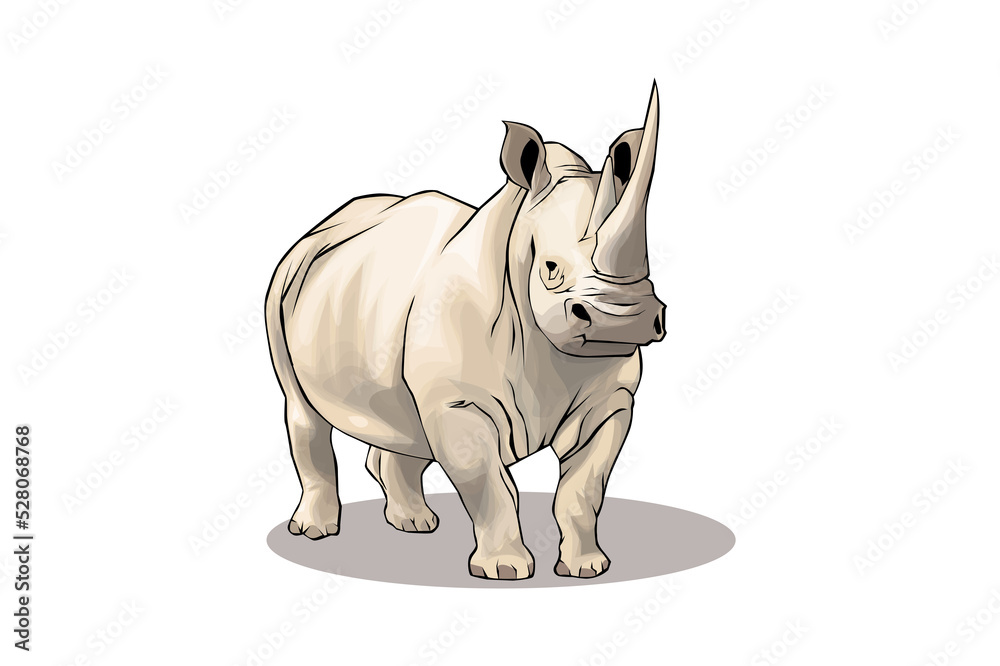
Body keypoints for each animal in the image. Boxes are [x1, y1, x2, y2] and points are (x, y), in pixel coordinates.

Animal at [265, 83, 666, 580]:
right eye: (551, 269)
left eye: (649, 264)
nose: (623, 320)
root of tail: (322, 227)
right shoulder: (458, 400)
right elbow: (491, 486)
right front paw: (505, 572)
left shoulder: (609, 398)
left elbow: (583, 488)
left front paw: (587, 568)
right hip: (283, 283)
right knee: (302, 409)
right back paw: (315, 532)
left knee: (401, 417)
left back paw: (414, 524)